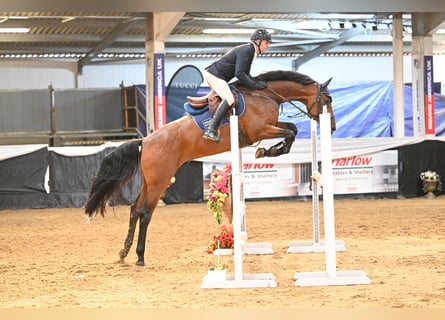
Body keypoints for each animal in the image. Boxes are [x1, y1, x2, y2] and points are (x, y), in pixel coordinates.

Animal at [84, 69, 332, 264]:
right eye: (328, 100)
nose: (332, 128)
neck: (265, 94)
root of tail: (145, 141)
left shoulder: (270, 126)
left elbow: (292, 128)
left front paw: (269, 150)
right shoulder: (260, 130)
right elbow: (290, 133)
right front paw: (268, 151)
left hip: (149, 181)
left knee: (135, 209)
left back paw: (123, 252)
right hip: (159, 182)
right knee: (145, 212)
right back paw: (140, 256)